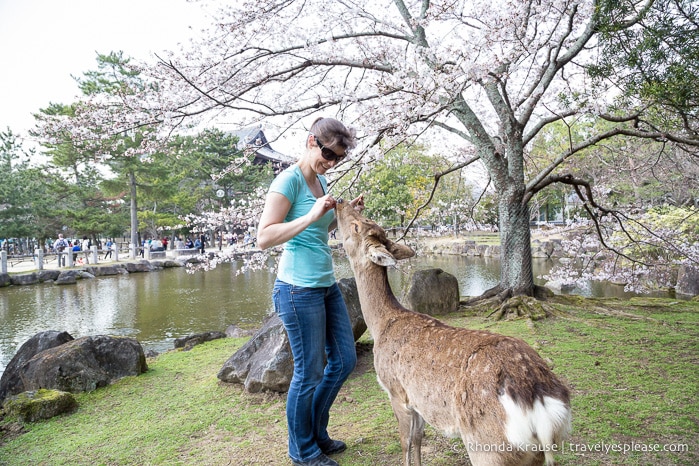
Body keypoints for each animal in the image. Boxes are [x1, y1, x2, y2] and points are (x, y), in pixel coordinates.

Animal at [336, 198, 572, 466]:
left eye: (357, 226)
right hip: (535, 454)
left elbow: (405, 442)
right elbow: (418, 439)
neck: (381, 325)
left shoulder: (396, 390)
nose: (340, 201)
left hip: (488, 447)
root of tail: (538, 402)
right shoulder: (417, 400)